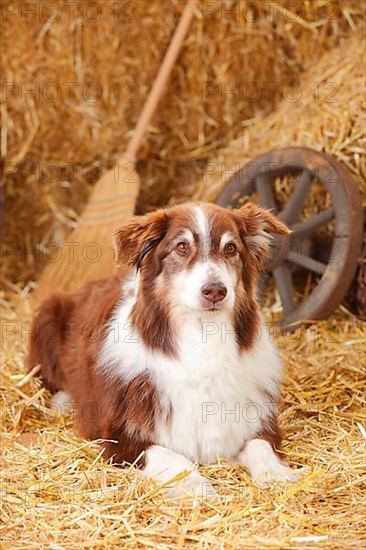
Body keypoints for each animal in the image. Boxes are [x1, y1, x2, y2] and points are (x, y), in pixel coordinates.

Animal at [28, 203, 302, 496]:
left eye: (231, 248)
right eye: (182, 247)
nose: (216, 291)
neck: (203, 337)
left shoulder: (255, 421)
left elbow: (261, 445)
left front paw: (275, 474)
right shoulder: (116, 436)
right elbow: (171, 457)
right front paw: (195, 486)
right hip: (48, 314)